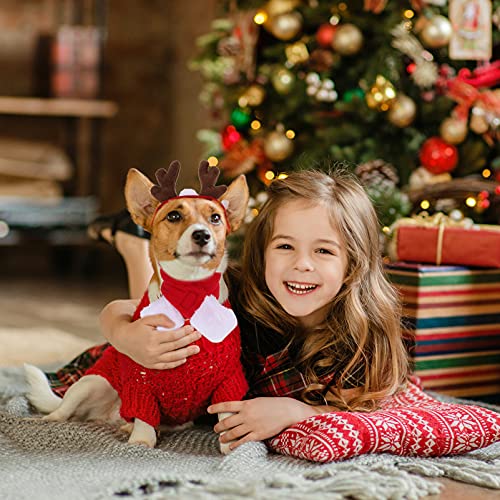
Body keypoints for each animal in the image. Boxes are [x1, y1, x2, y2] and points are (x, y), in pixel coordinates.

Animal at [24, 161, 249, 454]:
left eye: (215, 218)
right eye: (174, 216)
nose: (202, 235)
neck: (189, 296)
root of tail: (110, 415)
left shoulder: (227, 380)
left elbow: (227, 413)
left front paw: (232, 446)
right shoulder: (141, 381)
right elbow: (144, 416)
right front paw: (140, 443)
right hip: (91, 383)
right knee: (64, 409)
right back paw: (47, 420)